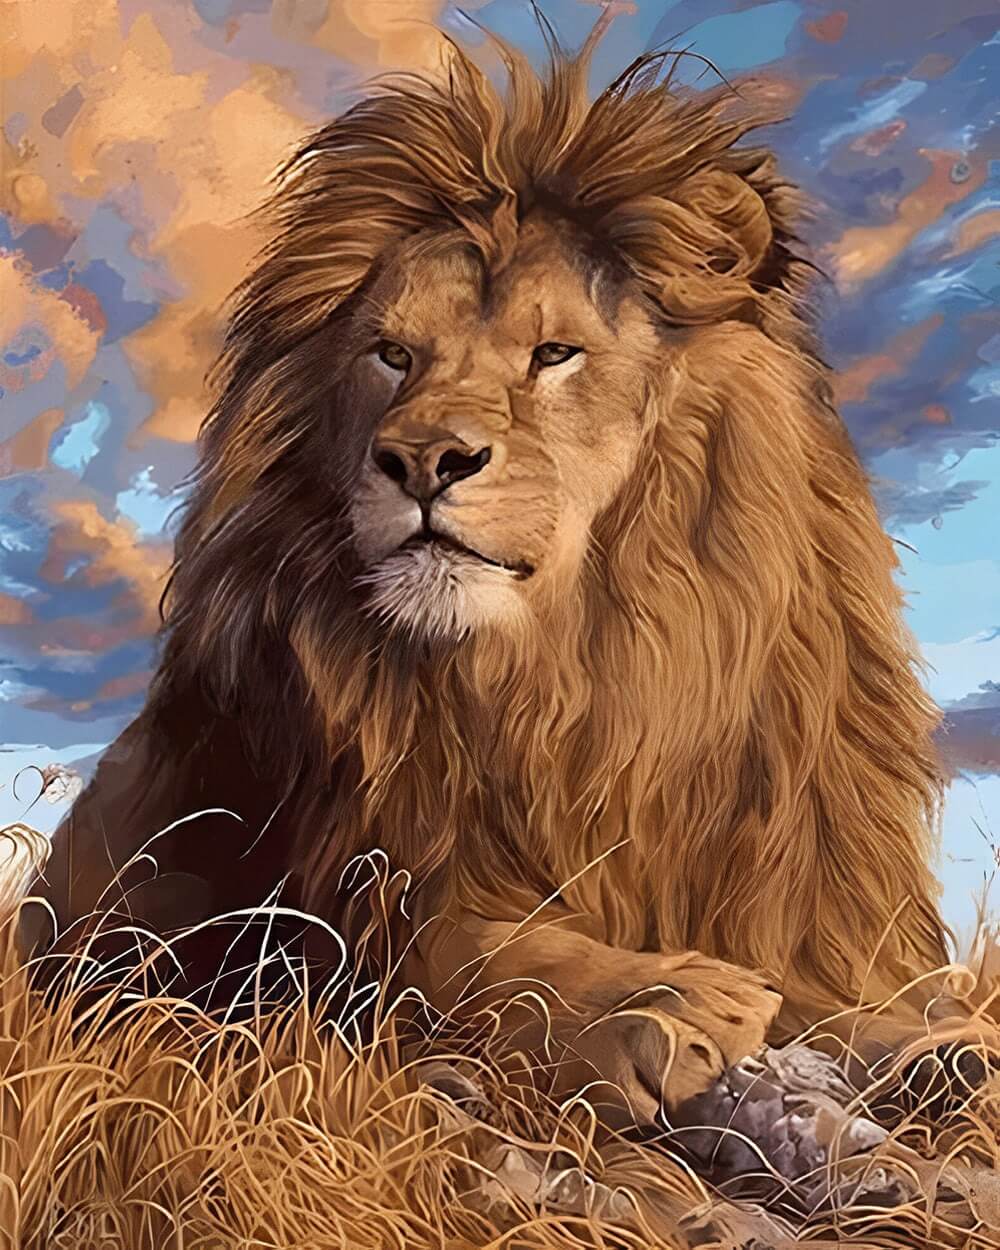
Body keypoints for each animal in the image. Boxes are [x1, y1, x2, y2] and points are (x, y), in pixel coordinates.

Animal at [21, 40, 961, 1123]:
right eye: (392, 354)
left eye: (554, 353)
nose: (423, 457)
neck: (571, 678)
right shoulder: (331, 907)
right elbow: (479, 953)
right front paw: (658, 1000)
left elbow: (848, 992)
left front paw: (933, 1043)